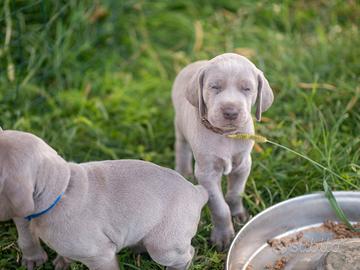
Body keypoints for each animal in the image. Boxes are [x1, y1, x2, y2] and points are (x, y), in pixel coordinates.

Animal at [0, 129, 208, 270]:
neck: (61, 190)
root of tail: (197, 192)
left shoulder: (100, 255)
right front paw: (57, 261)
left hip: (164, 245)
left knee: (187, 254)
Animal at [172, 52, 272, 251]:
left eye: (247, 88)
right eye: (215, 87)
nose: (231, 112)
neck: (226, 135)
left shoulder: (243, 165)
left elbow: (235, 194)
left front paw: (239, 215)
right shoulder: (207, 174)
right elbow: (219, 207)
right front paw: (223, 237)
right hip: (179, 125)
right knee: (182, 148)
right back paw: (184, 171)